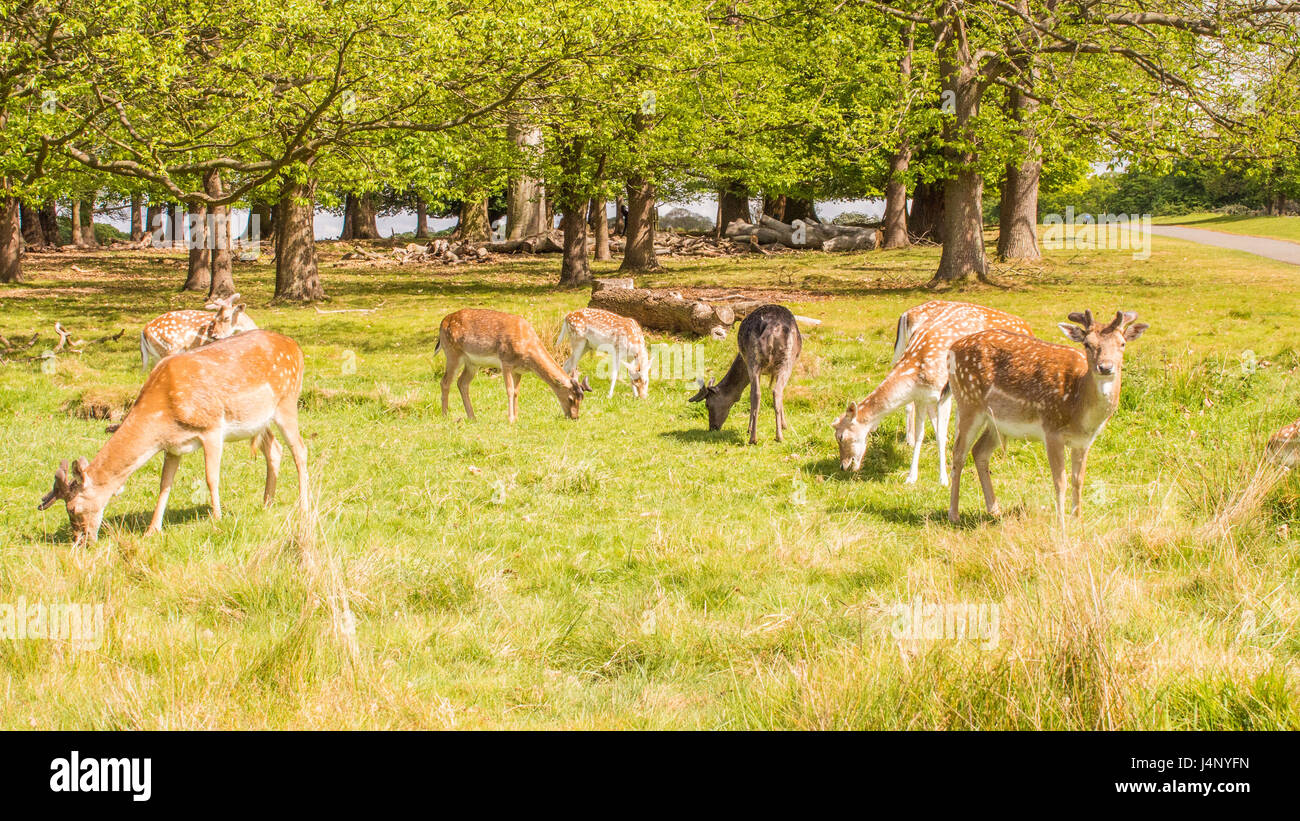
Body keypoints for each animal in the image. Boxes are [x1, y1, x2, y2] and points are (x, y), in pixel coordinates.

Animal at [38, 330, 310, 545]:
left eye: (73, 509)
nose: (80, 540)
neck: (164, 415)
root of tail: (296, 347)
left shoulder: (212, 427)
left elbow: (211, 478)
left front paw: (217, 520)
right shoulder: (173, 446)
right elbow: (164, 484)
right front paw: (152, 530)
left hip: (287, 401)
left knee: (300, 449)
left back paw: (303, 506)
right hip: (259, 421)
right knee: (274, 449)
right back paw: (266, 504)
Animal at [437, 308, 591, 422]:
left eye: (582, 398)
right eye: (570, 398)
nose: (575, 417)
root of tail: (442, 322)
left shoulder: (518, 370)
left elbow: (517, 392)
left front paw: (516, 418)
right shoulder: (505, 361)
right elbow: (509, 390)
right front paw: (510, 419)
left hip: (472, 363)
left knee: (462, 383)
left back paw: (472, 417)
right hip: (452, 352)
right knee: (445, 382)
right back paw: (445, 415)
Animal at [689, 304, 801, 444]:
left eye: (707, 404)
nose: (712, 427)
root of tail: (771, 327)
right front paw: (783, 425)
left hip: (760, 359)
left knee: (763, 393)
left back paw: (759, 437)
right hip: (781, 361)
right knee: (769, 392)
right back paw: (767, 436)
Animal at [834, 302, 1033, 484]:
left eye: (841, 437)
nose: (843, 466)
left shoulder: (942, 395)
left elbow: (941, 435)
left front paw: (943, 478)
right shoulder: (922, 398)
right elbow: (922, 434)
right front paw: (911, 477)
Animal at [946, 309, 1149, 526]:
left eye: (1122, 343)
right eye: (1087, 343)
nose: (1105, 367)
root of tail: (952, 347)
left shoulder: (1084, 441)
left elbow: (1078, 479)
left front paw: (1077, 519)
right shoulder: (1051, 430)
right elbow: (1060, 481)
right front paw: (1061, 523)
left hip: (997, 423)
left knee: (979, 451)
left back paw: (995, 510)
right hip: (968, 401)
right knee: (958, 453)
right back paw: (954, 514)